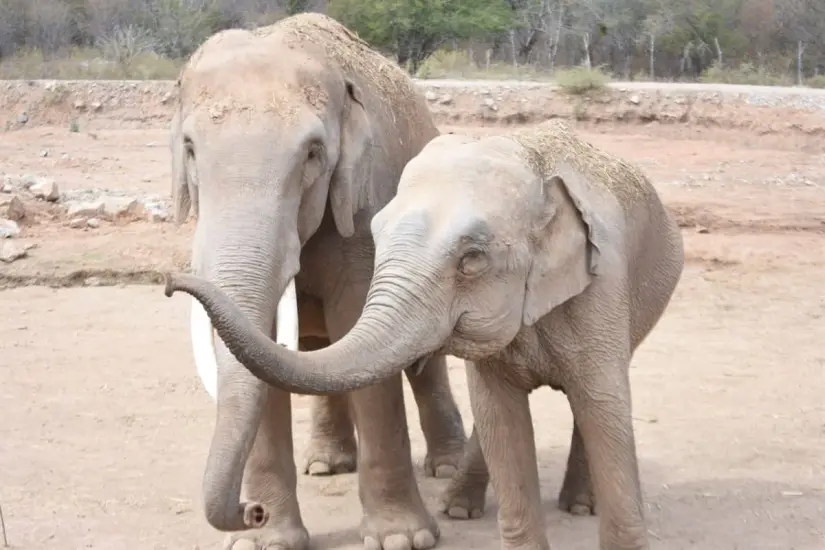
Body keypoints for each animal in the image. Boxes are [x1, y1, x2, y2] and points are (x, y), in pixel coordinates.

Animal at [164, 121, 684, 550]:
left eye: (472, 259)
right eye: (376, 233)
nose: (171, 282)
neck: (531, 163)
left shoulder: (604, 288)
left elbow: (603, 407)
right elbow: (500, 418)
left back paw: (577, 506)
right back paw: (457, 507)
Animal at [165, 12, 470, 550]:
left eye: (312, 153)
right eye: (190, 149)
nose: (251, 511)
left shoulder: (367, 203)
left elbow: (358, 325)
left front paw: (401, 539)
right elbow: (265, 350)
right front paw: (265, 542)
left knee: (420, 359)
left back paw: (446, 467)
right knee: (316, 351)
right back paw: (327, 465)